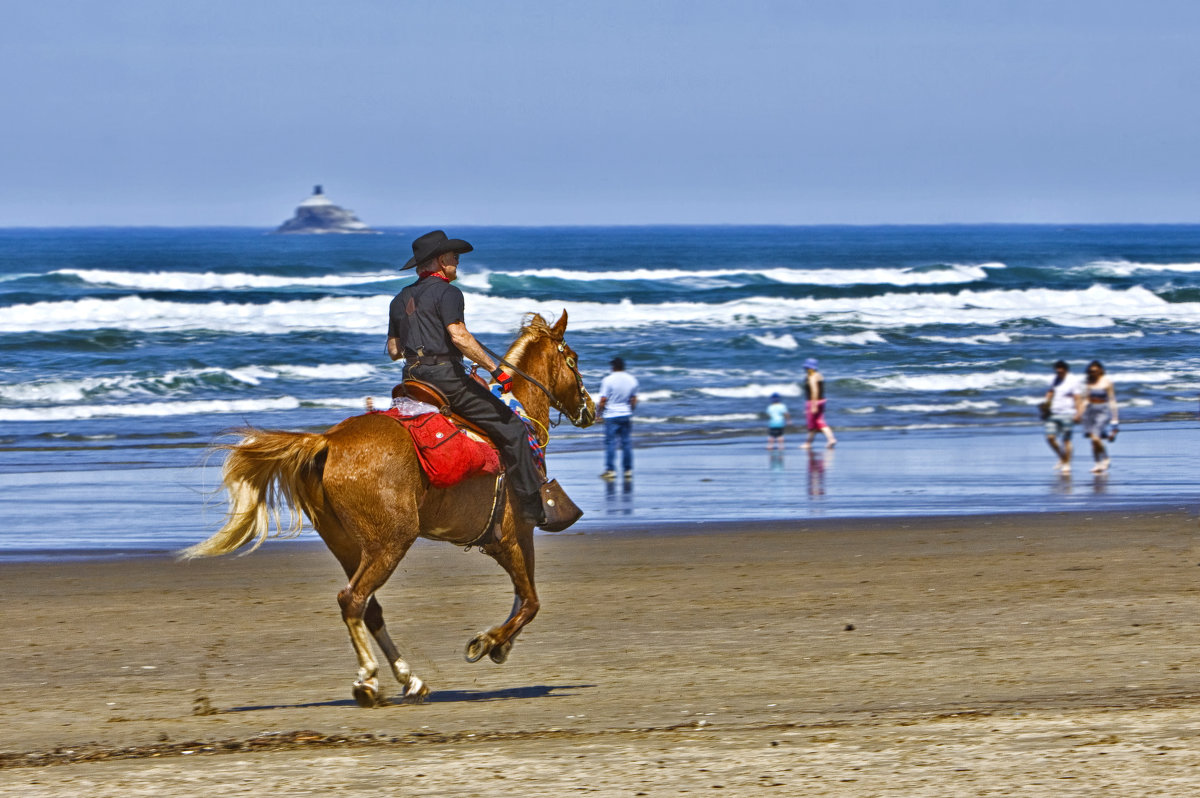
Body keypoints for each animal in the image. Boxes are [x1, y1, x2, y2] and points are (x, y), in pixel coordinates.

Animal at [181, 312, 595, 705]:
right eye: (573, 360)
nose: (590, 408)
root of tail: (328, 441)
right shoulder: (511, 536)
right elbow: (530, 601)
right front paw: (490, 641)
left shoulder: (514, 538)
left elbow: (522, 598)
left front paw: (501, 643)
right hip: (390, 542)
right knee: (353, 600)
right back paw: (368, 678)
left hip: (349, 545)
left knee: (369, 607)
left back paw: (409, 679)